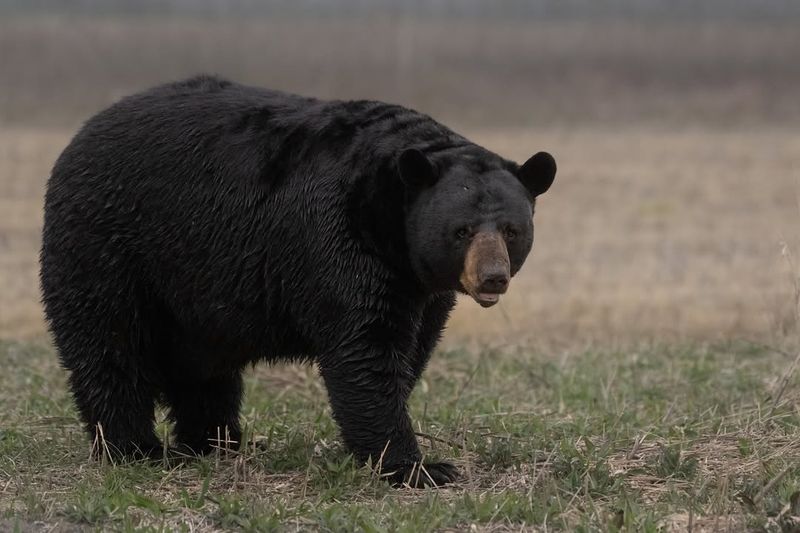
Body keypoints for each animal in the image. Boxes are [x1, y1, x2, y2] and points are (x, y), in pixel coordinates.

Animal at [40, 75, 556, 486]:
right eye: (462, 230)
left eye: (512, 230)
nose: (492, 278)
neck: (388, 221)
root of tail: (80, 135)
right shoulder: (338, 239)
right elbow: (364, 349)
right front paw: (419, 468)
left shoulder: (422, 285)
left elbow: (413, 349)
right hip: (111, 244)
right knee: (110, 345)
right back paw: (135, 449)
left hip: (189, 290)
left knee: (202, 369)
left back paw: (218, 442)